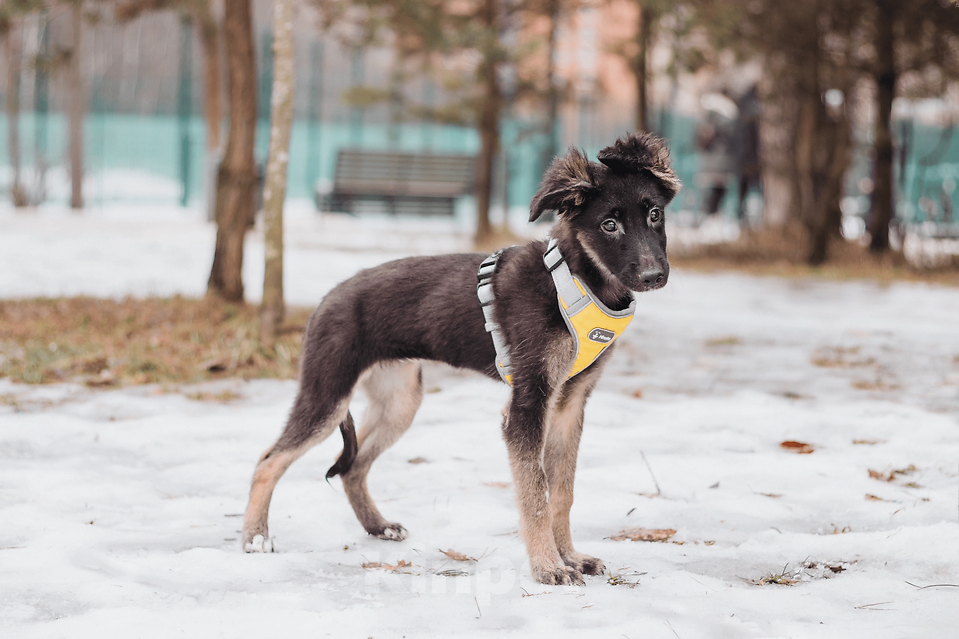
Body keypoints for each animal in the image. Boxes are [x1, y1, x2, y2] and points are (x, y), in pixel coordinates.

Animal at [242, 132, 684, 588]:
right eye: (609, 225)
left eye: (654, 215)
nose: (654, 277)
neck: (576, 278)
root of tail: (326, 299)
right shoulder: (527, 406)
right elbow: (535, 495)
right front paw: (547, 566)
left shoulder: (569, 405)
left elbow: (562, 492)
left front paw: (571, 557)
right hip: (327, 396)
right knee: (269, 460)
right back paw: (256, 537)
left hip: (400, 402)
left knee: (353, 466)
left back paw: (377, 526)